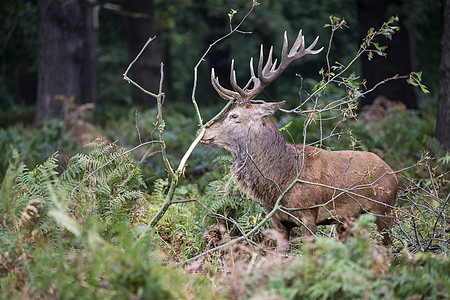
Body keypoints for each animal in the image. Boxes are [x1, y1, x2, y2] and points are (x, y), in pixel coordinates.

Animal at [200, 28, 398, 248]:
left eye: (234, 115)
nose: (204, 132)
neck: (282, 182)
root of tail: (392, 172)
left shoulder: (309, 214)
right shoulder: (277, 219)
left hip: (385, 209)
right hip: (349, 219)